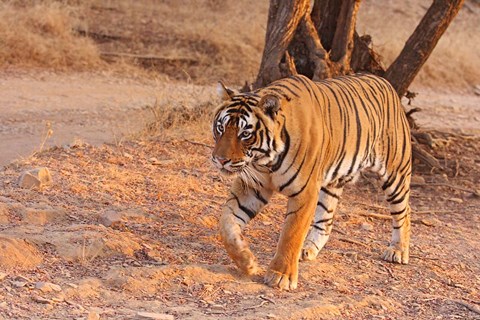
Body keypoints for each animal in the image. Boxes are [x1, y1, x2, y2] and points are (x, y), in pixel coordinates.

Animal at [212, 74, 410, 292]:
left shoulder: (304, 192)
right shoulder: (252, 186)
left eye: (245, 134)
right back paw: (308, 249)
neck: (265, 161)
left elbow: (291, 233)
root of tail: (386, 82)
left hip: (395, 173)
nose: (220, 160)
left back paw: (398, 251)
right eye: (220, 128)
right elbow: (226, 223)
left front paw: (281, 276)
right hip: (332, 183)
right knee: (326, 220)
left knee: (404, 211)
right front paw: (247, 262)